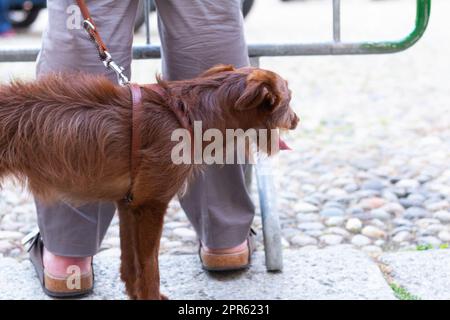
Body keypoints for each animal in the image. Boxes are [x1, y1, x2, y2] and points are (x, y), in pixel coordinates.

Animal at [0, 65, 298, 300]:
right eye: (289, 100)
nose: (297, 120)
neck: (190, 114)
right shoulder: (152, 205)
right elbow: (150, 265)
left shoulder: (129, 203)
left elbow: (131, 262)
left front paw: (134, 293)